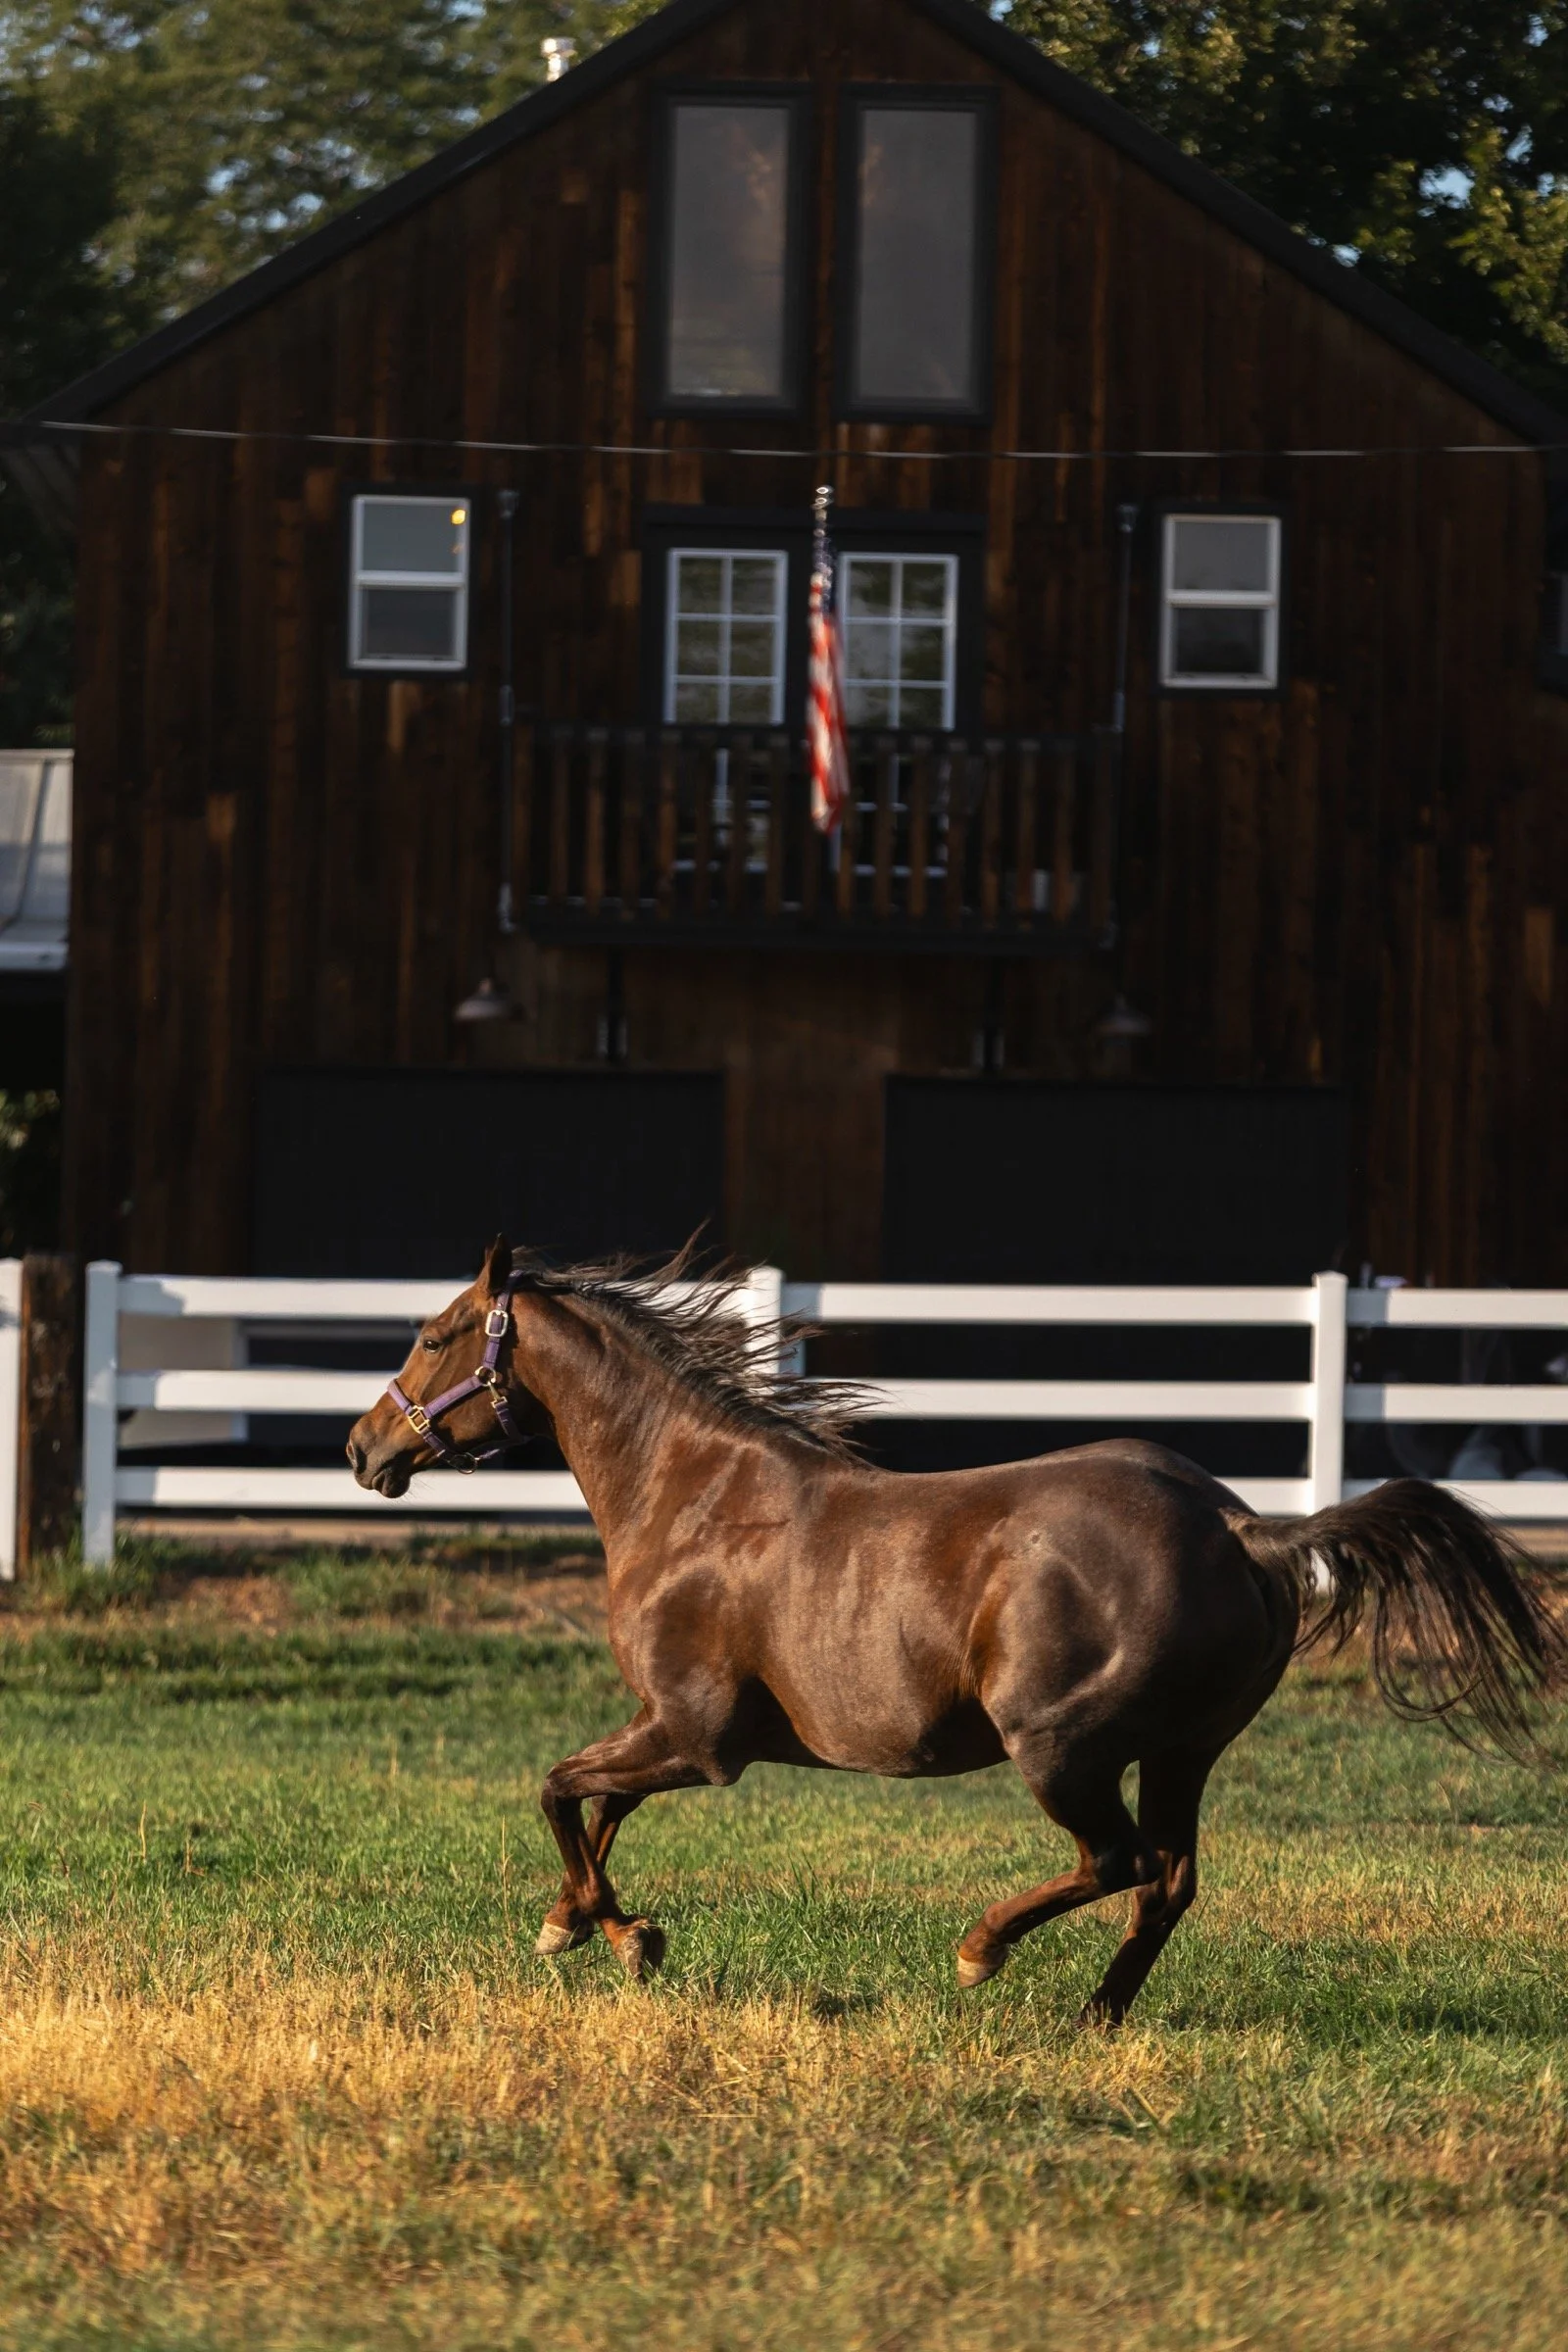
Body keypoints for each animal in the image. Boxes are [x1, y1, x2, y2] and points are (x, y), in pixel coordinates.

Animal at [346, 1238, 1564, 2022]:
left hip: (1060, 1746)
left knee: (1116, 1859)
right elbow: (599, 1810)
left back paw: (982, 1953)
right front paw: (604, 1928)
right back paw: (1095, 2016)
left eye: (435, 1335)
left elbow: (561, 1790)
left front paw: (605, 1932)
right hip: (1183, 1751)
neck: (691, 1493)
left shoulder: (698, 1737)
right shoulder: (675, 1729)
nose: (365, 1449)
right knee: (1166, 1881)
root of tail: (1237, 1525)